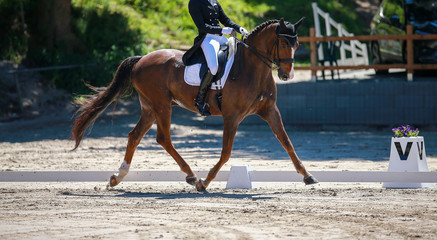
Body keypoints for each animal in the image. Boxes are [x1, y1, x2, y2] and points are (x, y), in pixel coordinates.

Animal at [71, 18, 316, 191]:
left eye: (297, 44)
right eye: (283, 42)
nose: (286, 75)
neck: (252, 68)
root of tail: (141, 59)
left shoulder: (270, 110)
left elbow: (286, 141)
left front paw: (307, 175)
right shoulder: (232, 116)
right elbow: (226, 152)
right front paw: (205, 182)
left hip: (150, 107)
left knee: (135, 136)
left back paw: (117, 178)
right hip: (162, 105)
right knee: (163, 138)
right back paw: (191, 176)